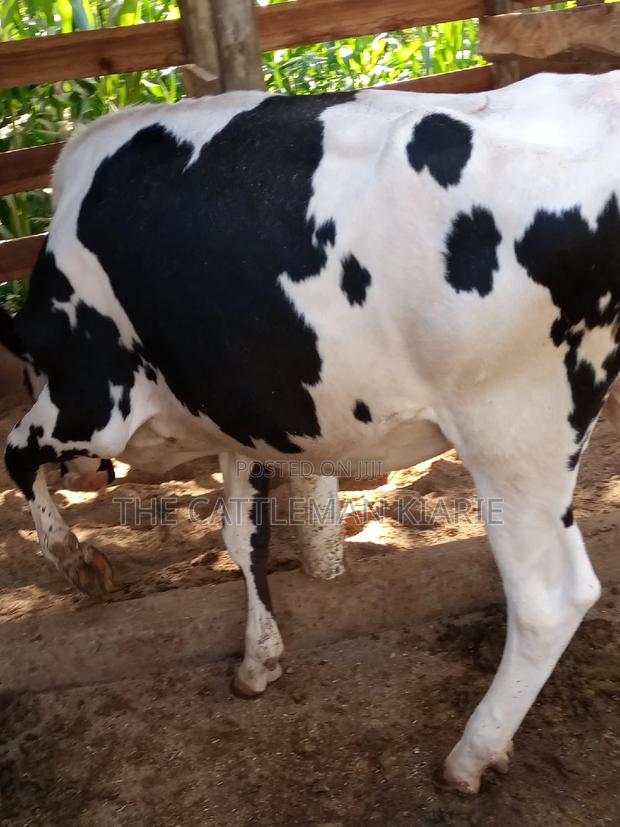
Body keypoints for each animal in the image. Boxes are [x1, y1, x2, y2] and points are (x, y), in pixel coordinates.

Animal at [2, 71, 619, 794]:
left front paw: (79, 561)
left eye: (33, 372)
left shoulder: (92, 399)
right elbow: (241, 535)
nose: (90, 476)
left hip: (512, 431)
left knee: (549, 599)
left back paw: (472, 752)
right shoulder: (238, 414)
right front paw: (259, 659)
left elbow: (16, 453)